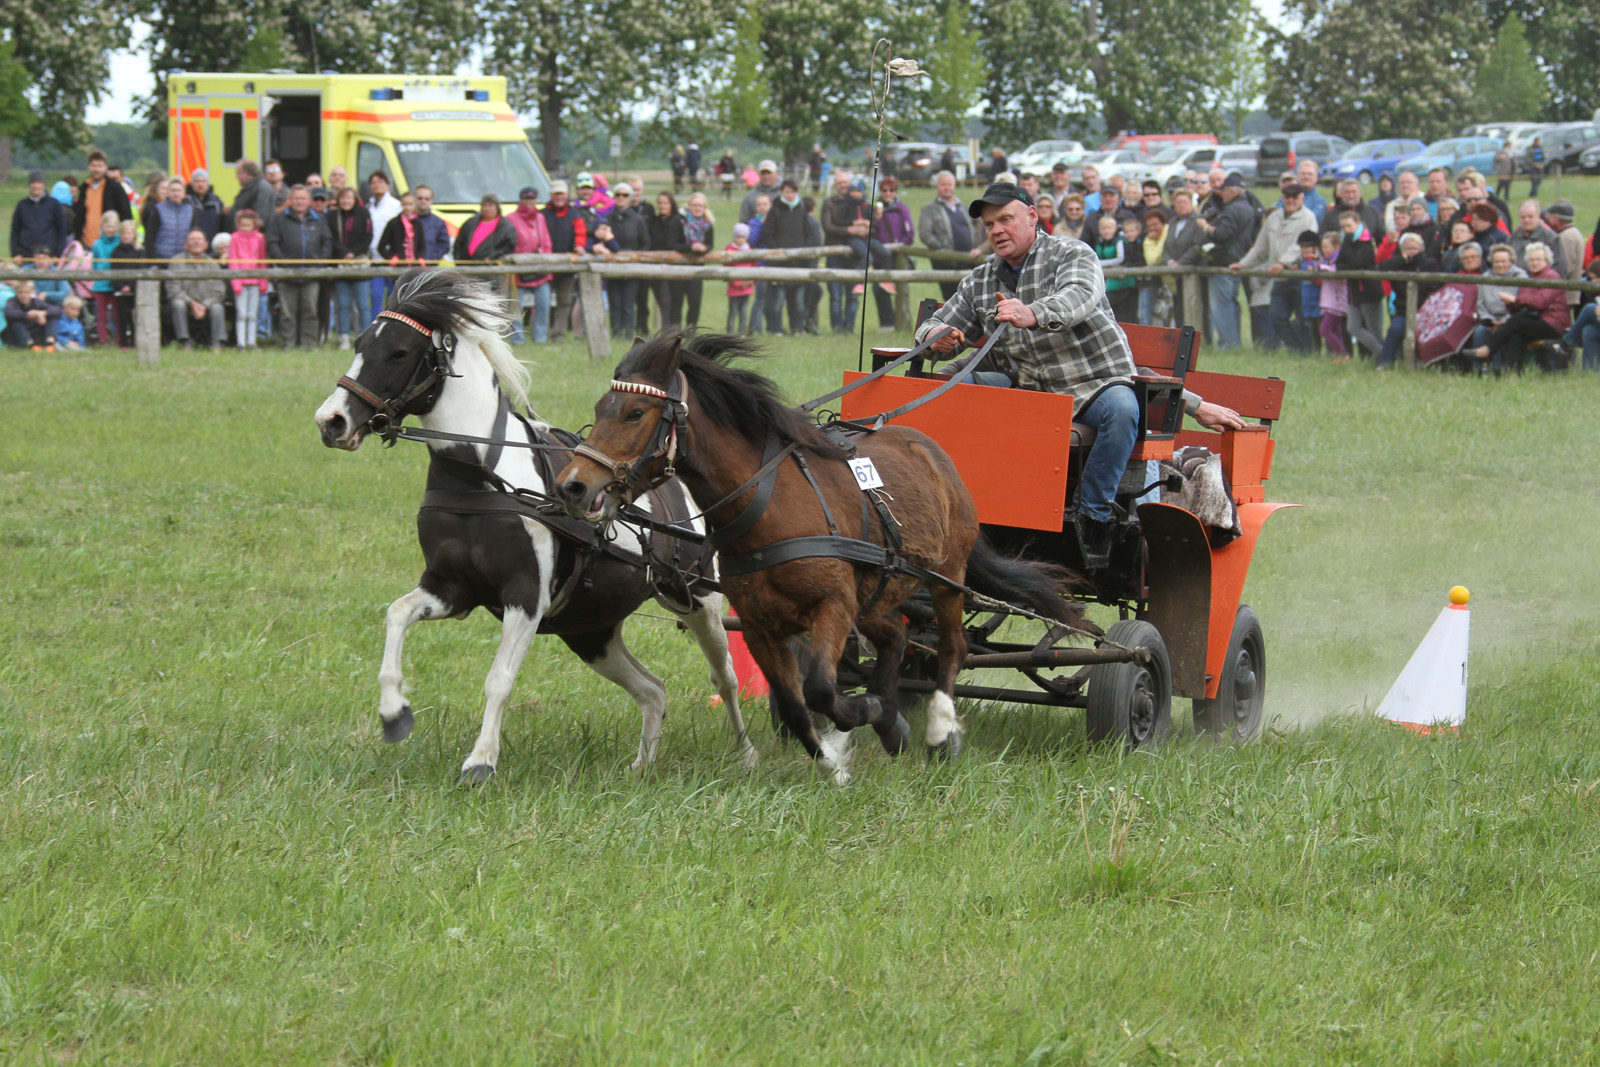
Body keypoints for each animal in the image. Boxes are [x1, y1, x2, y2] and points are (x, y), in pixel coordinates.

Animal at [320, 268, 761, 783]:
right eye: (359, 343)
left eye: (398, 353)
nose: (331, 421)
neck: (482, 475)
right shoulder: (450, 589)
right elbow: (396, 614)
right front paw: (394, 714)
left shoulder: (525, 595)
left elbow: (499, 680)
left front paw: (480, 762)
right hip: (590, 631)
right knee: (653, 689)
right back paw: (642, 765)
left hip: (696, 598)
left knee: (724, 677)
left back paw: (746, 754)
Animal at [556, 331, 1094, 783]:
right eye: (601, 406)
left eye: (634, 413)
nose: (574, 485)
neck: (770, 504)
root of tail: (933, 452)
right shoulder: (760, 624)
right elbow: (796, 707)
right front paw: (838, 758)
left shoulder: (832, 607)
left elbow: (818, 688)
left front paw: (862, 717)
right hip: (881, 591)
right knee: (897, 637)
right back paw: (892, 719)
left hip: (945, 575)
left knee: (953, 647)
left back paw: (938, 729)